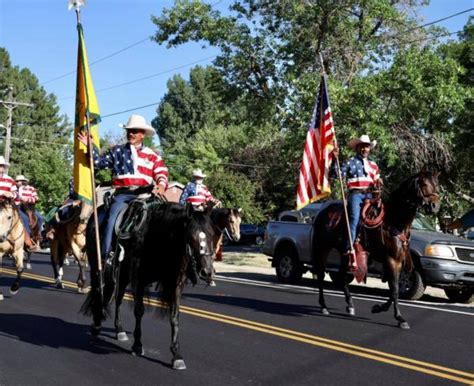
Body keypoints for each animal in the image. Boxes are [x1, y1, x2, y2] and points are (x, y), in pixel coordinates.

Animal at [81, 201, 215, 370]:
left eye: (212, 234)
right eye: (191, 236)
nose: (207, 272)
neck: (156, 237)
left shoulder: (175, 283)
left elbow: (174, 316)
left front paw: (176, 355)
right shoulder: (139, 279)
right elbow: (139, 311)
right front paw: (137, 345)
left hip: (123, 274)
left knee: (118, 299)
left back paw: (119, 330)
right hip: (96, 265)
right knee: (99, 290)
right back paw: (97, 324)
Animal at [312, 170, 440, 328]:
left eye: (437, 184)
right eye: (424, 184)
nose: (435, 206)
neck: (394, 220)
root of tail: (323, 212)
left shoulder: (398, 261)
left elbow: (393, 290)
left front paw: (379, 308)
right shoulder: (391, 260)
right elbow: (395, 290)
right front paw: (399, 318)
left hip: (345, 254)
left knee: (341, 275)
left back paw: (350, 305)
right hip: (322, 248)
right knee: (321, 274)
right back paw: (323, 306)